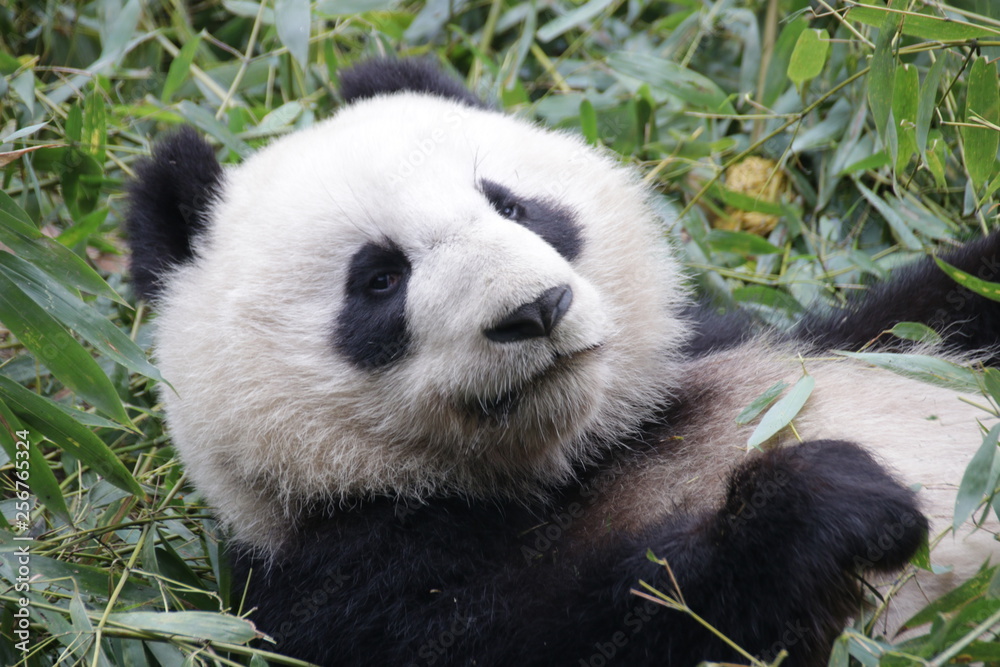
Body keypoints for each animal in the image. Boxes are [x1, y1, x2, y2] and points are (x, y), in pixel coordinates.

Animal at [126, 58, 999, 666]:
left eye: (513, 206)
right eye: (378, 279)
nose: (536, 309)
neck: (575, 459)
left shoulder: (756, 351)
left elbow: (934, 313)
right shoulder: (336, 579)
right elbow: (601, 632)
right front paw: (834, 499)